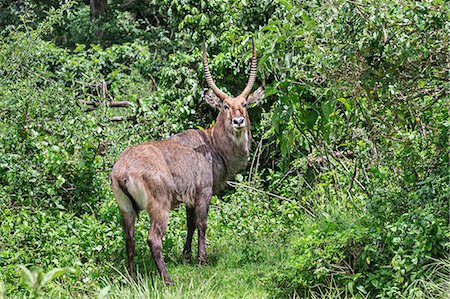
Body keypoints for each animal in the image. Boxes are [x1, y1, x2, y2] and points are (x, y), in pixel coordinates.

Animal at [110, 40, 264, 286]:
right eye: (225, 106)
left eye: (245, 104)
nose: (238, 121)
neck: (211, 144)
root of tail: (122, 170)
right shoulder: (203, 192)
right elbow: (202, 224)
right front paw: (201, 260)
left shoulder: (189, 198)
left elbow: (190, 223)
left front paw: (186, 256)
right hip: (159, 206)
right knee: (153, 239)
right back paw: (167, 280)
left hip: (126, 209)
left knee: (129, 238)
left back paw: (132, 278)